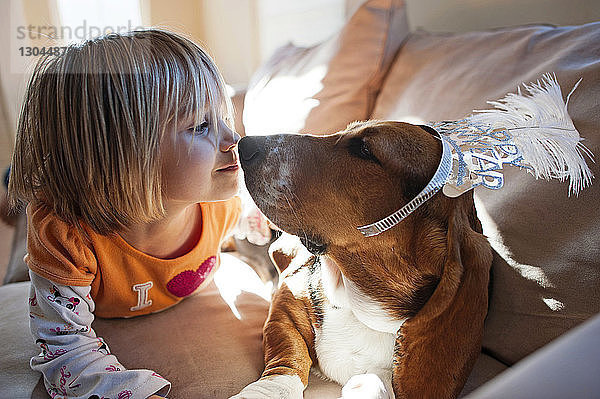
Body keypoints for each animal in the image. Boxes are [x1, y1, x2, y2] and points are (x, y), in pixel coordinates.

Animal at [233, 122, 492, 399]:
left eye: (365, 150)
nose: (243, 144)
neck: (359, 302)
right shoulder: (287, 302)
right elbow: (288, 359)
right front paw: (267, 391)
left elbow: (383, 381)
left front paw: (367, 386)